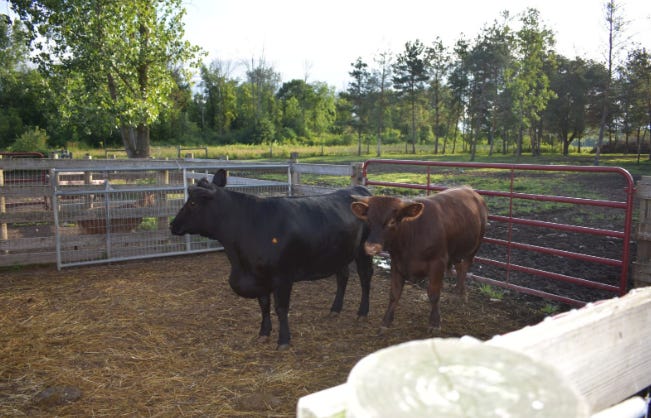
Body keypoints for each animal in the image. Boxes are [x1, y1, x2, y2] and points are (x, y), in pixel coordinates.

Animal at [170, 169, 373, 349]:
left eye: (193, 203)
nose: (172, 224)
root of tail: (360, 190)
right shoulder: (259, 277)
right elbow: (264, 306)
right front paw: (264, 333)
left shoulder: (282, 277)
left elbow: (281, 308)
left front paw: (283, 340)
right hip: (340, 253)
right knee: (343, 277)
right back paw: (335, 309)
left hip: (363, 251)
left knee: (365, 277)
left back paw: (362, 312)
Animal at [350, 186, 487, 334]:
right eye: (369, 220)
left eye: (392, 221)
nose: (371, 247)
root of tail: (469, 189)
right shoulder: (396, 263)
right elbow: (394, 294)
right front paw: (385, 322)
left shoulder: (438, 263)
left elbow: (434, 294)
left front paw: (434, 323)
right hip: (457, 250)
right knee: (460, 267)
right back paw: (458, 294)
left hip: (474, 247)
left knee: (465, 266)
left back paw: (460, 294)